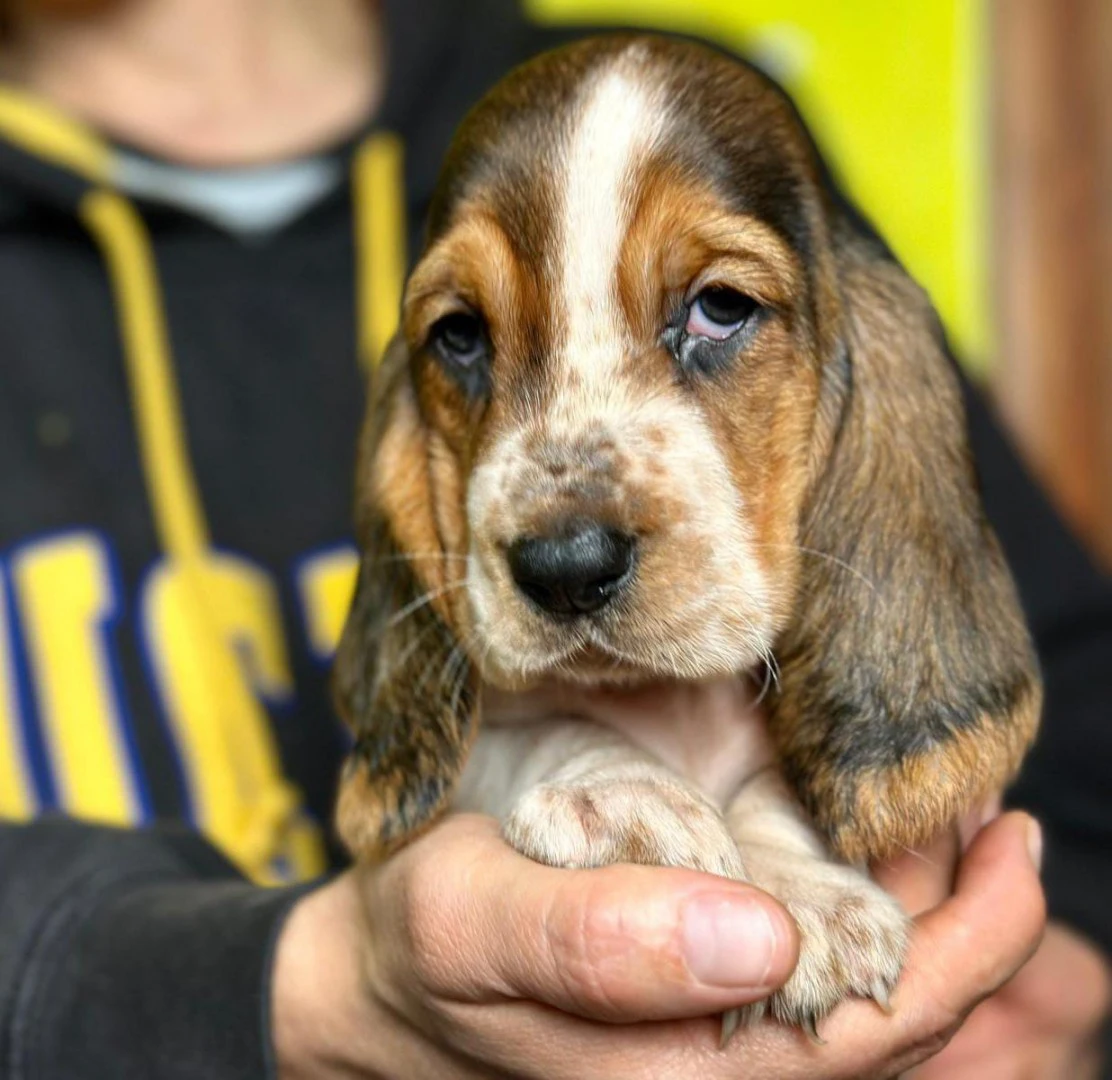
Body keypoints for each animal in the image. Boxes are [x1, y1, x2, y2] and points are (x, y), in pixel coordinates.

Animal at [331, 33, 1040, 1041]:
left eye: (721, 308)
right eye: (459, 335)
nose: (566, 567)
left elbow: (777, 786)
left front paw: (806, 891)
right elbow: (541, 729)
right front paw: (625, 800)